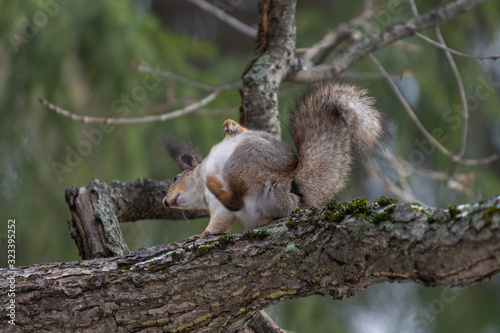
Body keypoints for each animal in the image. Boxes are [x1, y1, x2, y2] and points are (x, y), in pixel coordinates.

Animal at [162, 82, 384, 236]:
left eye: (175, 178)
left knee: (235, 197)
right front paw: (204, 233)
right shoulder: (218, 210)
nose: (164, 202)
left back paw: (215, 183)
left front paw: (229, 124)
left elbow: (242, 130)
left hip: (241, 163)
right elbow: (221, 222)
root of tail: (291, 188)